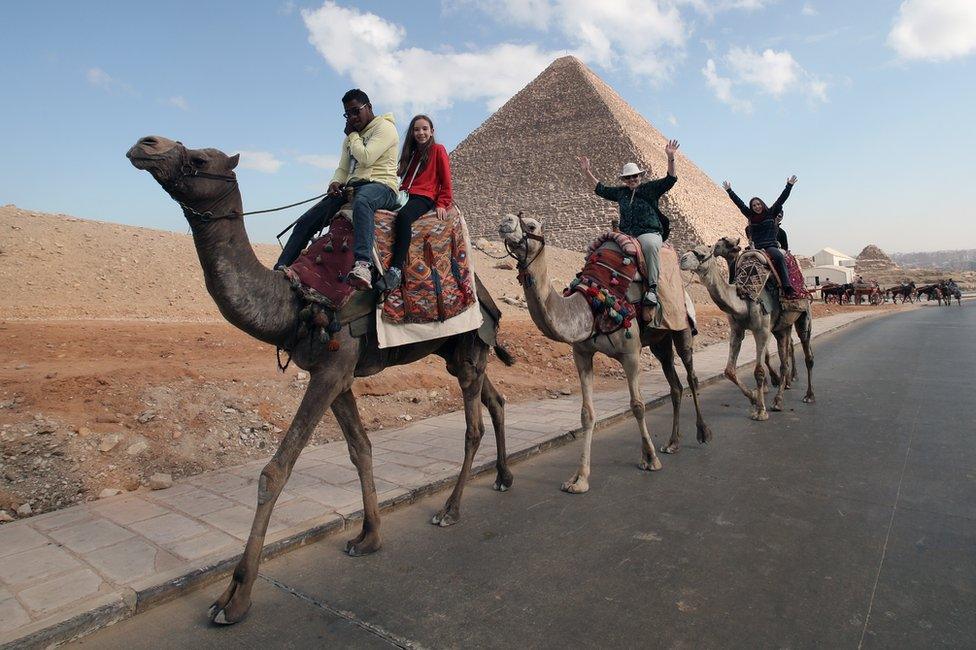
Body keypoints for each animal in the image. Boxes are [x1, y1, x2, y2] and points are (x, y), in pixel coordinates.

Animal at [130, 135, 520, 624]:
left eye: (199, 158)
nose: (145, 144)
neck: (298, 299)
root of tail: (485, 295)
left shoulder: (333, 371)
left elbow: (275, 471)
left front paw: (234, 597)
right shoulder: (334, 374)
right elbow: (360, 449)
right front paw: (369, 536)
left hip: (469, 347)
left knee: (473, 426)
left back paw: (450, 509)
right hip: (457, 352)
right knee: (496, 401)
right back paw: (503, 476)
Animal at [496, 213, 708, 492]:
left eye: (531, 225)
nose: (505, 222)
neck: (592, 302)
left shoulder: (630, 354)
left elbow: (637, 405)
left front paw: (650, 459)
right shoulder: (582, 354)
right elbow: (587, 413)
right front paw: (579, 479)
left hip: (681, 327)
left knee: (692, 376)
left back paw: (703, 433)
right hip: (659, 342)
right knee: (675, 385)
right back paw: (672, 443)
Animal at [680, 235, 816, 418]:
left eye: (701, 253)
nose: (682, 258)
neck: (744, 297)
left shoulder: (762, 331)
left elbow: (759, 370)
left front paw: (761, 411)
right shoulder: (737, 330)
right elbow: (729, 371)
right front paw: (754, 398)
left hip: (804, 315)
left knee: (808, 355)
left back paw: (808, 395)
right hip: (782, 327)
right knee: (784, 361)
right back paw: (778, 400)